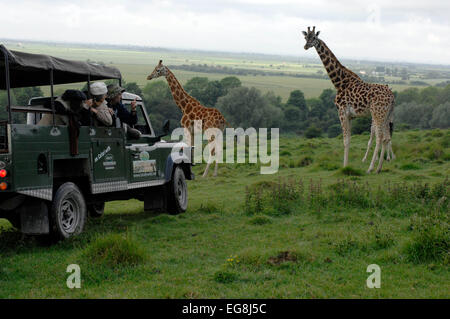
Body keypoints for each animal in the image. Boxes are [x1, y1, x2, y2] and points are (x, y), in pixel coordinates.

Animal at [302, 26, 394, 174]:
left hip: (377, 114)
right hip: (386, 116)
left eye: (314, 38)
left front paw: (344, 166)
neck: (339, 82)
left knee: (380, 138)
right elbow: (349, 140)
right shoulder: (350, 116)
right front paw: (346, 165)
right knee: (386, 138)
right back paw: (378, 169)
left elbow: (345, 141)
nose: (306, 46)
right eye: (305, 37)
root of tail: (392, 97)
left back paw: (370, 168)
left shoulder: (342, 112)